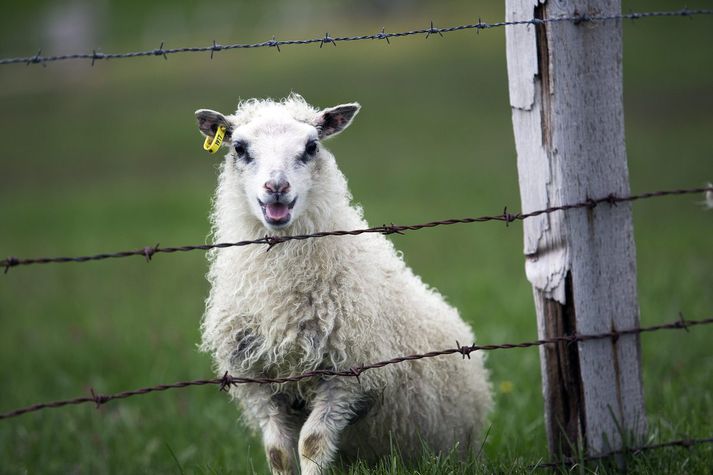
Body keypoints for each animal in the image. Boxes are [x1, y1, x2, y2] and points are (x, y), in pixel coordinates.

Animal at [195, 94, 492, 475]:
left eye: (312, 146)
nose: (276, 188)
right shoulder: (255, 379)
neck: (280, 291)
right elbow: (278, 453)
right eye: (239, 147)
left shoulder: (347, 375)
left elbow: (312, 443)